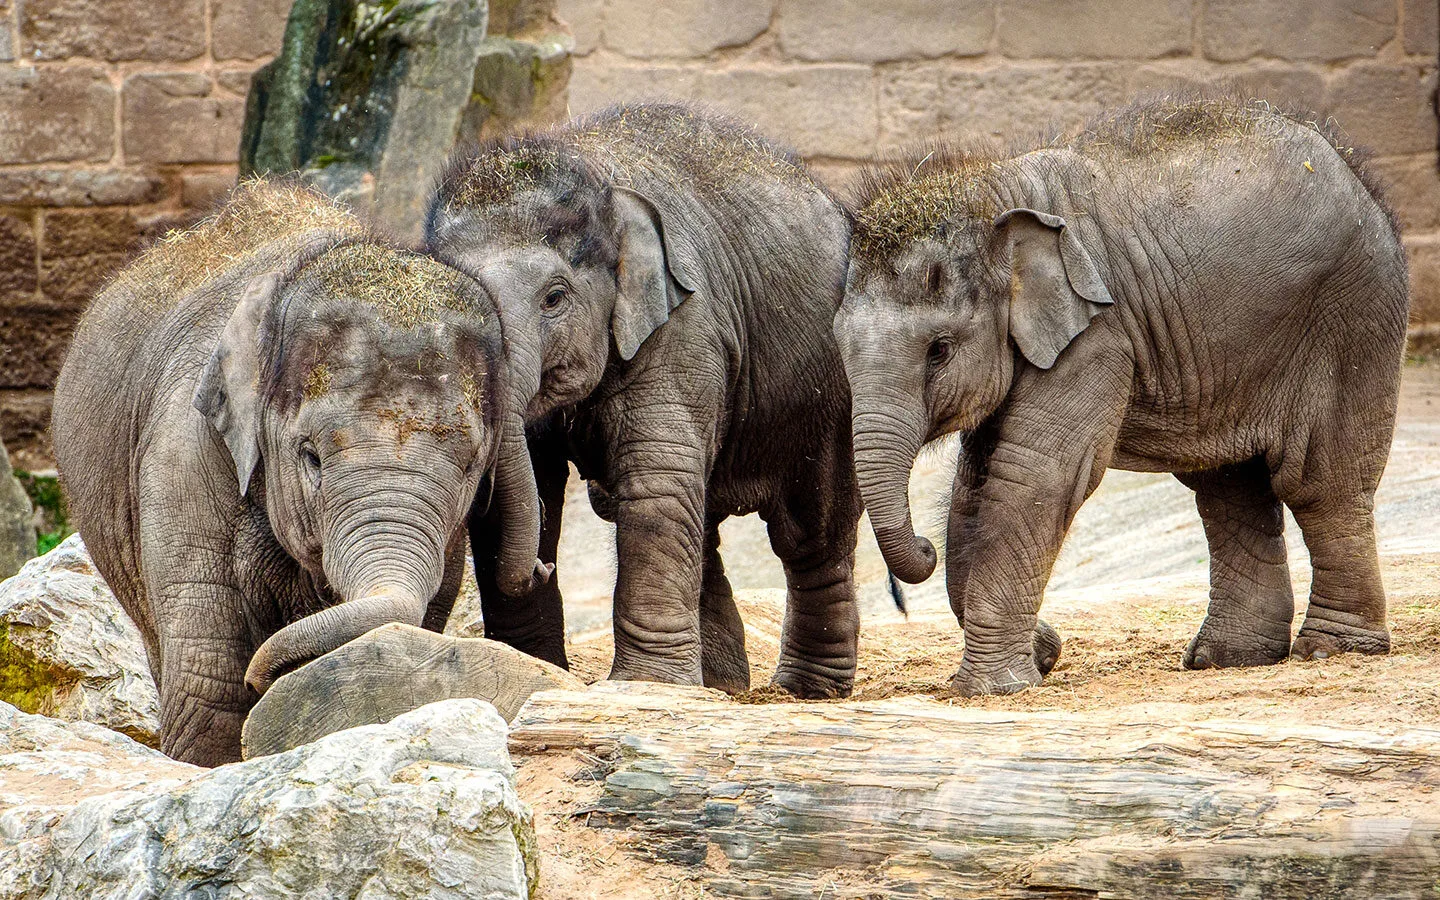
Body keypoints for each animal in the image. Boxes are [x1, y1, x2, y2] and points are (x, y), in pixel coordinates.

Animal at [420, 105, 869, 694]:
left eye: (554, 298)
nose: (544, 567)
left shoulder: (684, 327)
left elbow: (656, 480)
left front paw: (645, 686)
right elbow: (525, 489)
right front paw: (538, 672)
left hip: (830, 389)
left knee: (811, 531)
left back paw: (803, 690)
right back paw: (720, 685)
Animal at [840, 95, 1411, 694]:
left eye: (939, 350)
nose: (923, 550)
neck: (992, 193)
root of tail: (1354, 171)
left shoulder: (1097, 337)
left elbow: (1033, 475)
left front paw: (996, 688)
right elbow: (976, 482)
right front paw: (1037, 658)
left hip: (1353, 317)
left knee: (1318, 484)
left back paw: (1330, 650)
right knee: (1229, 485)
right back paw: (1228, 658)